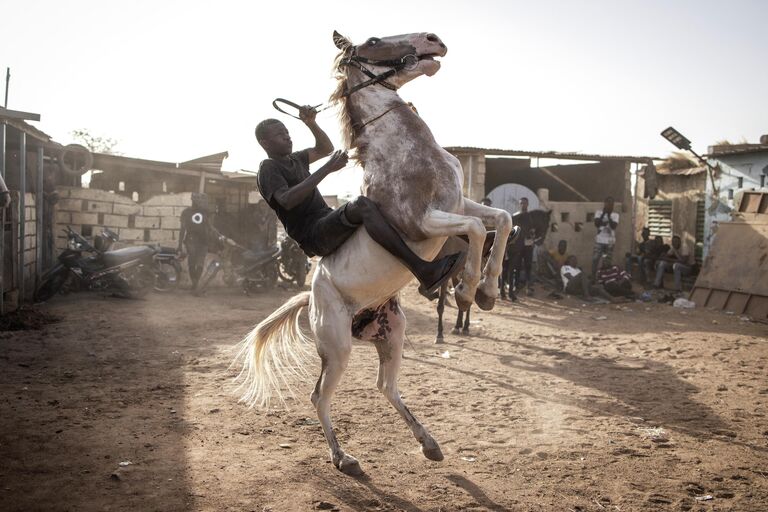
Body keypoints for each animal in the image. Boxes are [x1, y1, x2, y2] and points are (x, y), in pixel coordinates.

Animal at [234, 30, 510, 474]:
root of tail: (310, 296)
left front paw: (487, 293)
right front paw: (467, 289)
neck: (406, 153)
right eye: (375, 40)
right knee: (319, 396)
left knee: (386, 386)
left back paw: (429, 444)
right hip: (337, 349)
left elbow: (501, 220)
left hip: (392, 333)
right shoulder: (421, 222)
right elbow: (474, 231)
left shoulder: (459, 204)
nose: (434, 40)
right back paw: (343, 459)